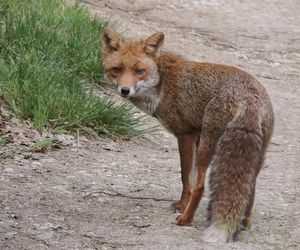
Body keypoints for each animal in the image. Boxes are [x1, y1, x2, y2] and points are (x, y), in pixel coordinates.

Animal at [101, 27, 274, 242]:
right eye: (117, 69)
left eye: (139, 71)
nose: (125, 90)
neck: (162, 82)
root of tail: (249, 98)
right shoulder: (197, 136)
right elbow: (189, 181)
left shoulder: (186, 135)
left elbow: (186, 181)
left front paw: (182, 207)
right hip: (256, 154)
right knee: (250, 189)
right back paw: (243, 225)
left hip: (208, 148)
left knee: (201, 187)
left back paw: (185, 220)